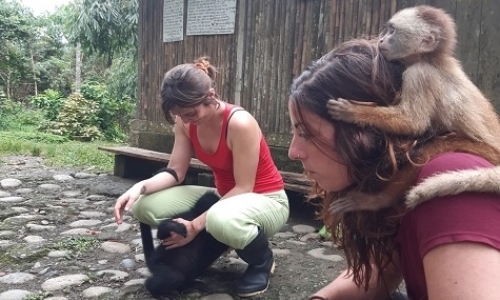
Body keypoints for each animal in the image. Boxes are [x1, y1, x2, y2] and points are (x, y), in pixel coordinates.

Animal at [326, 4, 500, 213]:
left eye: (392, 31)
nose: (382, 39)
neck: (429, 59)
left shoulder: (419, 74)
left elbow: (412, 123)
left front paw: (353, 112)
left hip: (487, 153)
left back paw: (378, 200)